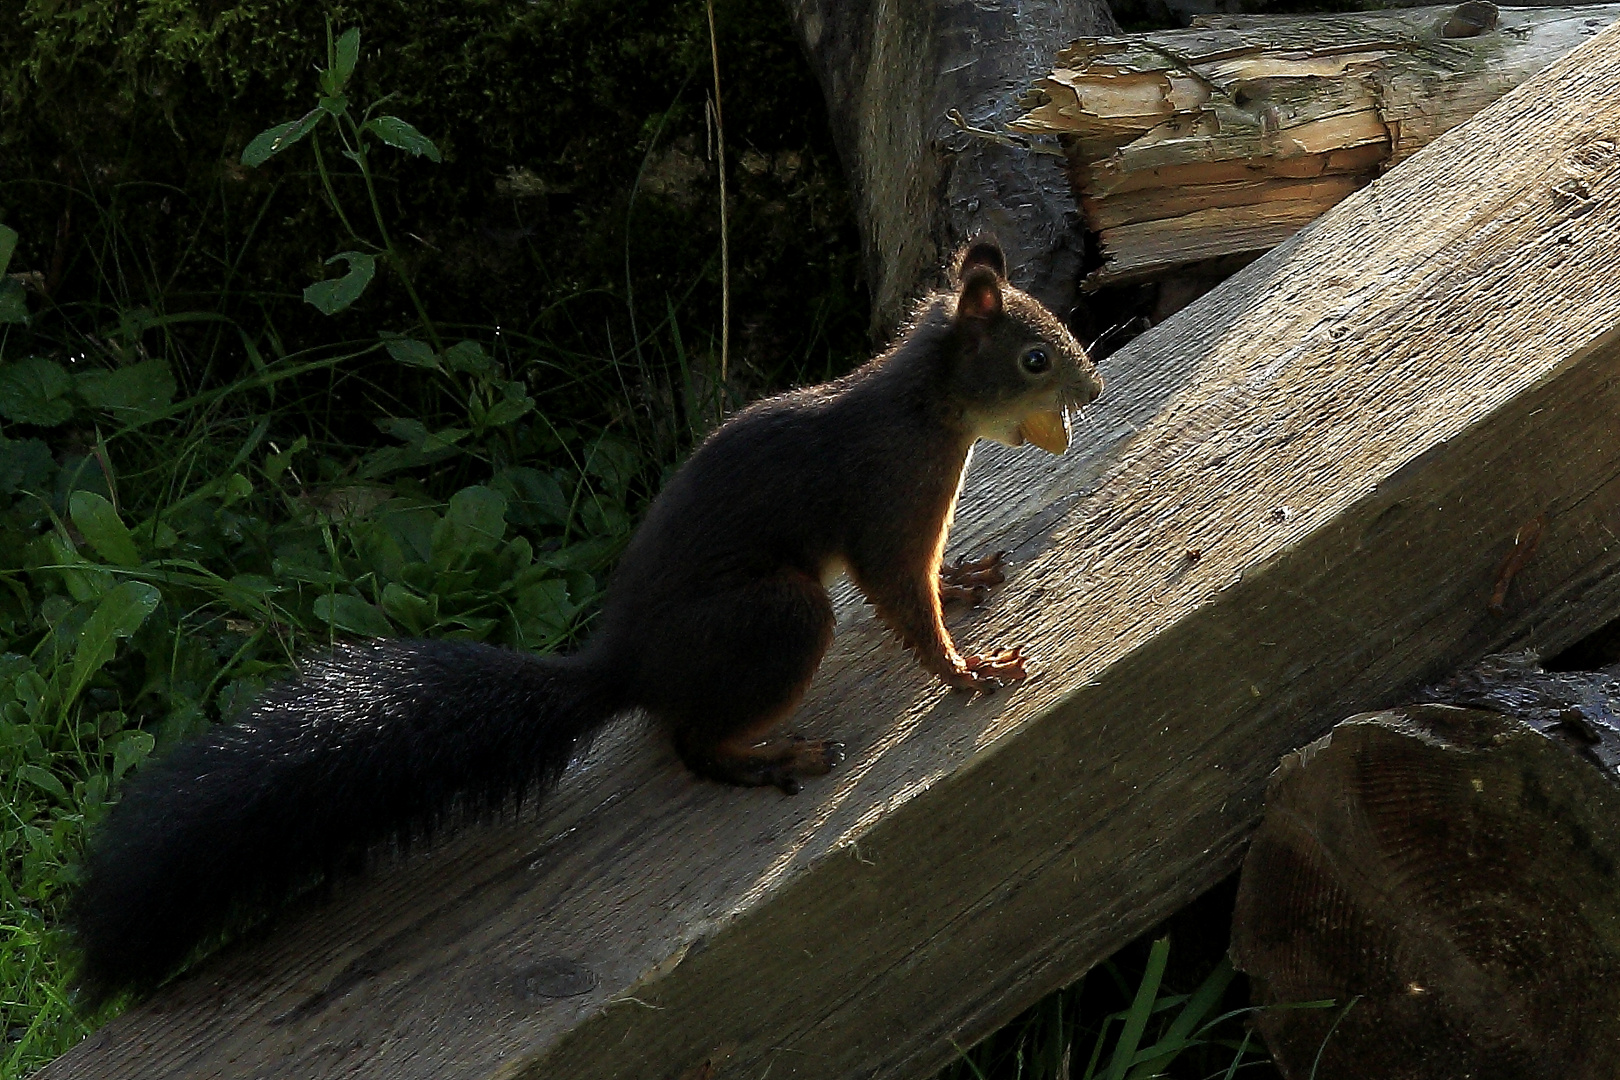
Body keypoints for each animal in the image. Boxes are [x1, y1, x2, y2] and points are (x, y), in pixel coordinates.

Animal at [63, 241, 1101, 1003]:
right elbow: (903, 601)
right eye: (1036, 356)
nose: (1089, 392)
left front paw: (966, 582)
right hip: (780, 617)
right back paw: (771, 757)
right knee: (690, 742)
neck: (927, 406)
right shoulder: (888, 503)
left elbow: (929, 583)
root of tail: (628, 665)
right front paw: (969, 669)